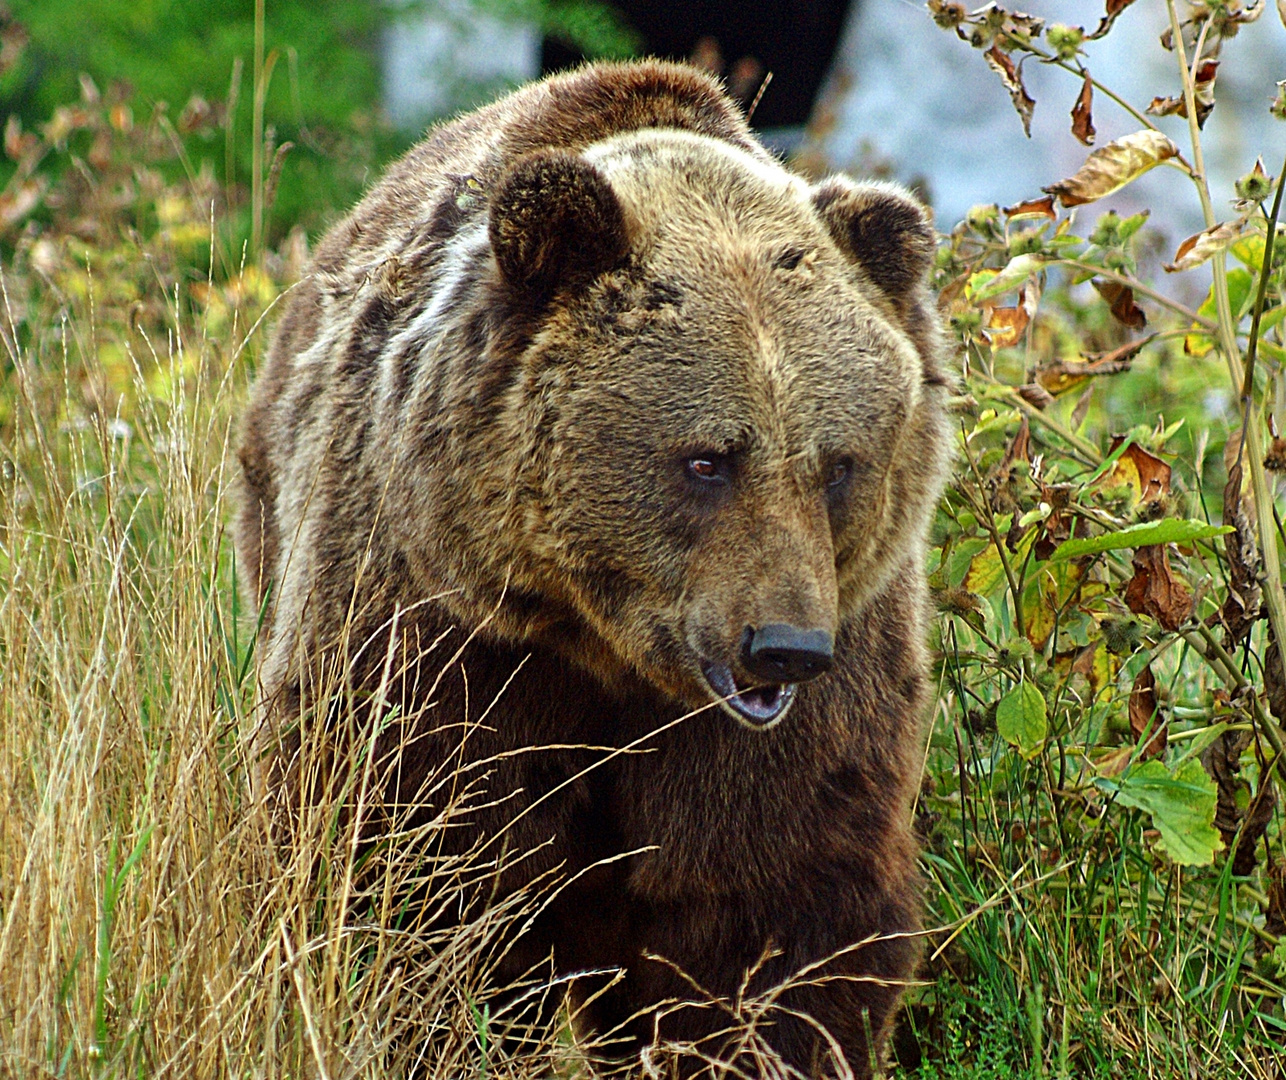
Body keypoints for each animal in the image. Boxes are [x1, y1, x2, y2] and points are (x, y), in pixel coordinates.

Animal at [236, 61, 951, 1080]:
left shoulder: (818, 684)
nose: (782, 647)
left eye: (839, 465)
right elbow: (409, 855)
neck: (604, 645)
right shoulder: (442, 627)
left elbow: (770, 905)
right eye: (707, 459)